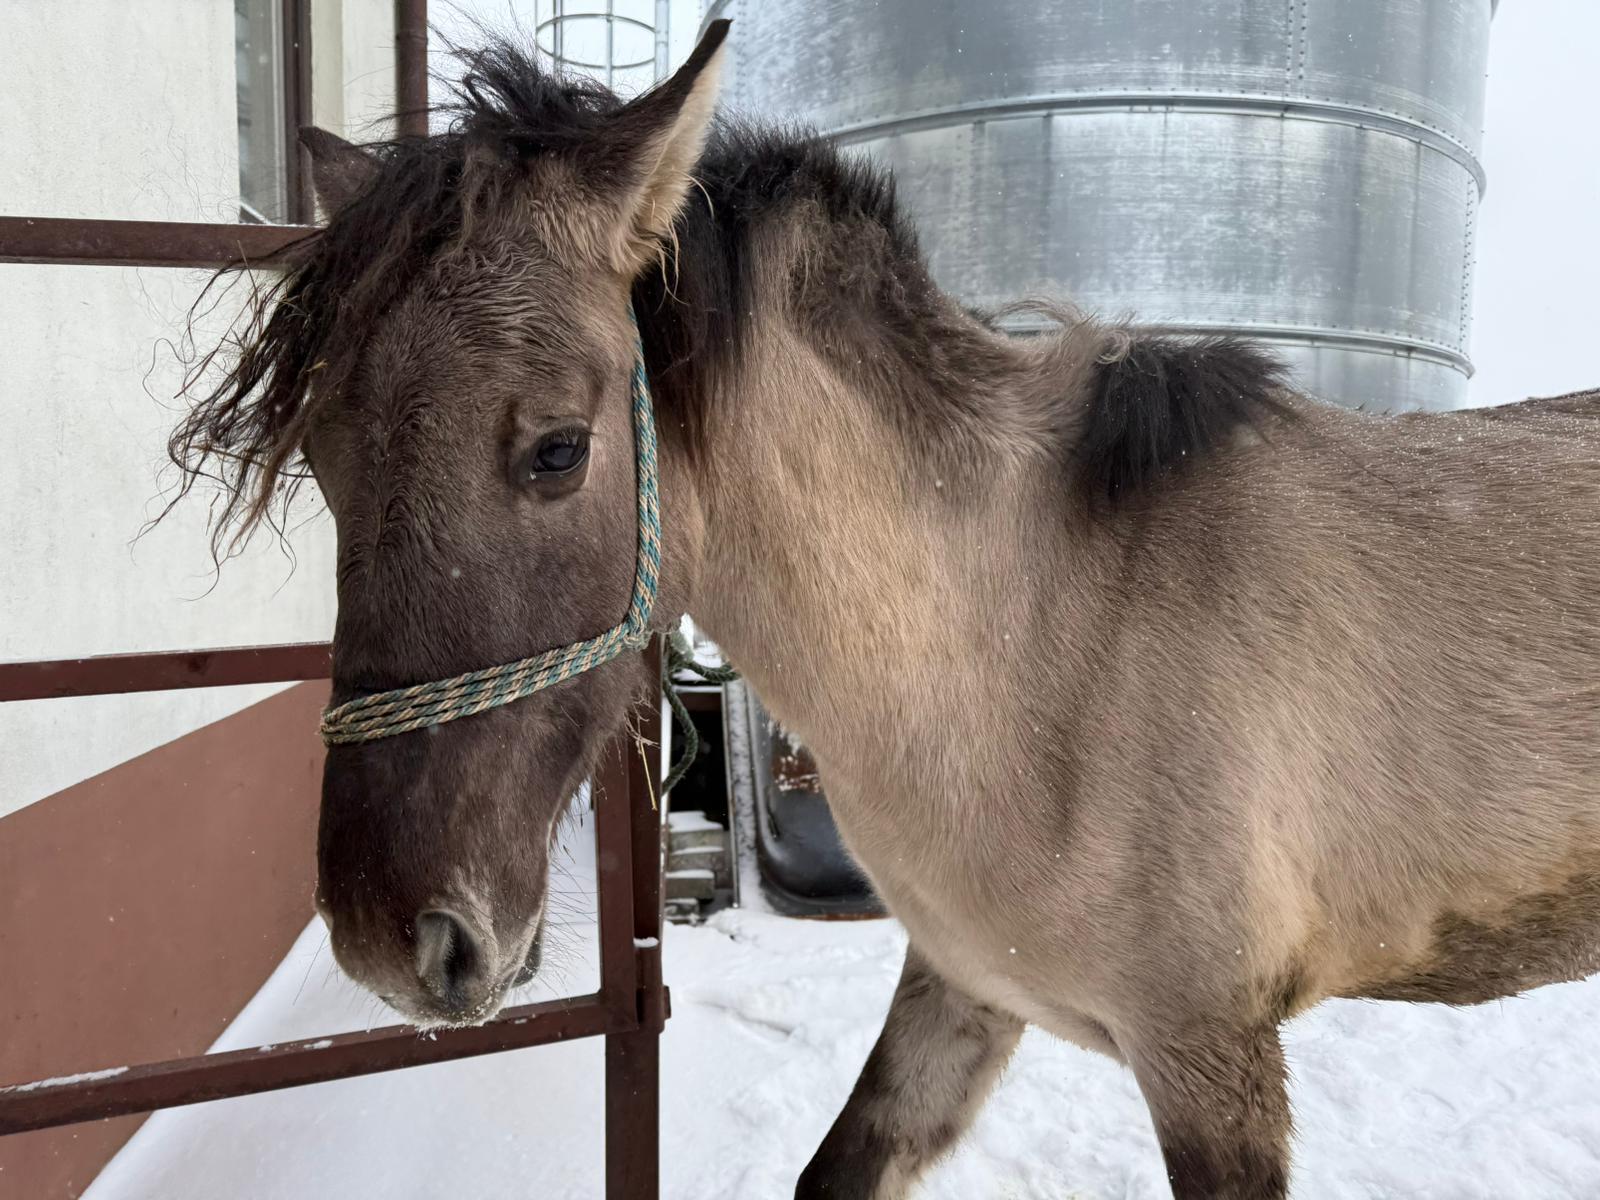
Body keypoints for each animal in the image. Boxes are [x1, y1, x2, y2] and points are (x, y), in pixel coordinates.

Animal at [168, 21, 1600, 1199]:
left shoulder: (1210, 1055)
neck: (1033, 643)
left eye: (559, 451)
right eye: (323, 459)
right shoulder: (961, 989)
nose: (391, 943)